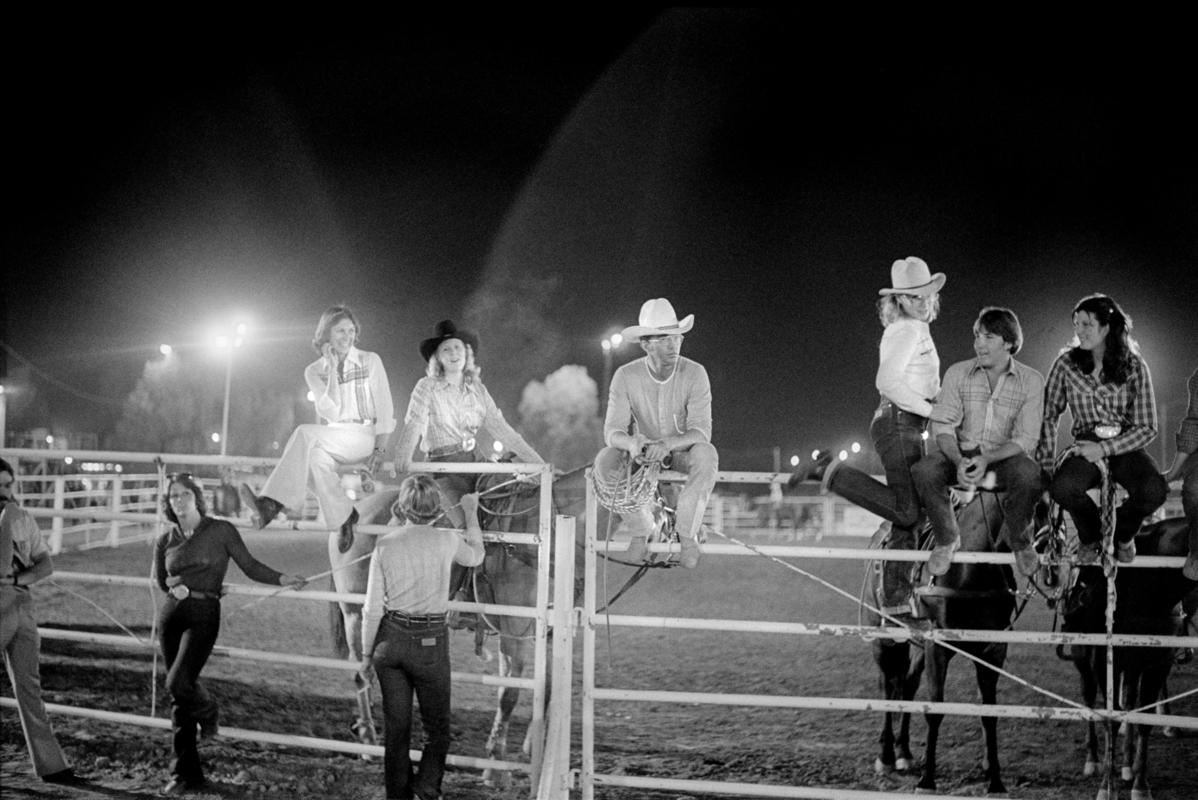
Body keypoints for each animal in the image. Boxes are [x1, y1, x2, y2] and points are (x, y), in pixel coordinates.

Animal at [862, 488, 1020, 795]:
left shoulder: (993, 649)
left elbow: (989, 713)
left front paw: (995, 781)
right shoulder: (937, 646)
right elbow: (935, 710)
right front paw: (927, 780)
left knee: (908, 683)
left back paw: (904, 753)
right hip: (882, 638)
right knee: (888, 685)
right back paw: (886, 758)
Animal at [1059, 514, 1198, 800]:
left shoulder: (1158, 664)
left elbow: (1144, 720)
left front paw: (1140, 783)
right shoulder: (1104, 663)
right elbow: (1109, 719)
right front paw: (1105, 785)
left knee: (1130, 702)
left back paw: (1127, 764)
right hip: (1083, 657)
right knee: (1089, 697)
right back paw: (1093, 760)